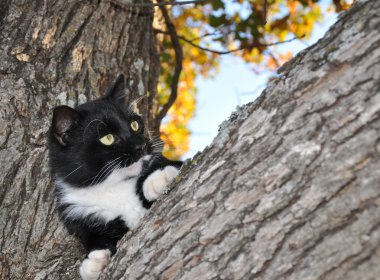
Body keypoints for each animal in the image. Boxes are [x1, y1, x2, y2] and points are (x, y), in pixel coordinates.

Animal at [48, 75, 182, 280]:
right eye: (108, 138)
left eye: (135, 125)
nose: (141, 145)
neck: (113, 187)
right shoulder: (81, 213)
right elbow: (94, 237)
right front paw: (94, 262)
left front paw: (157, 178)